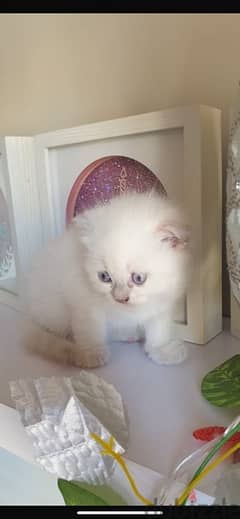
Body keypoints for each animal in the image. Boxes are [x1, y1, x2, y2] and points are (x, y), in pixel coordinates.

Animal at [23, 193, 191, 368]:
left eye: (138, 278)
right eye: (104, 277)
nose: (120, 298)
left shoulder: (163, 299)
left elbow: (159, 327)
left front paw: (161, 349)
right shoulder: (82, 300)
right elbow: (89, 329)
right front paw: (91, 353)